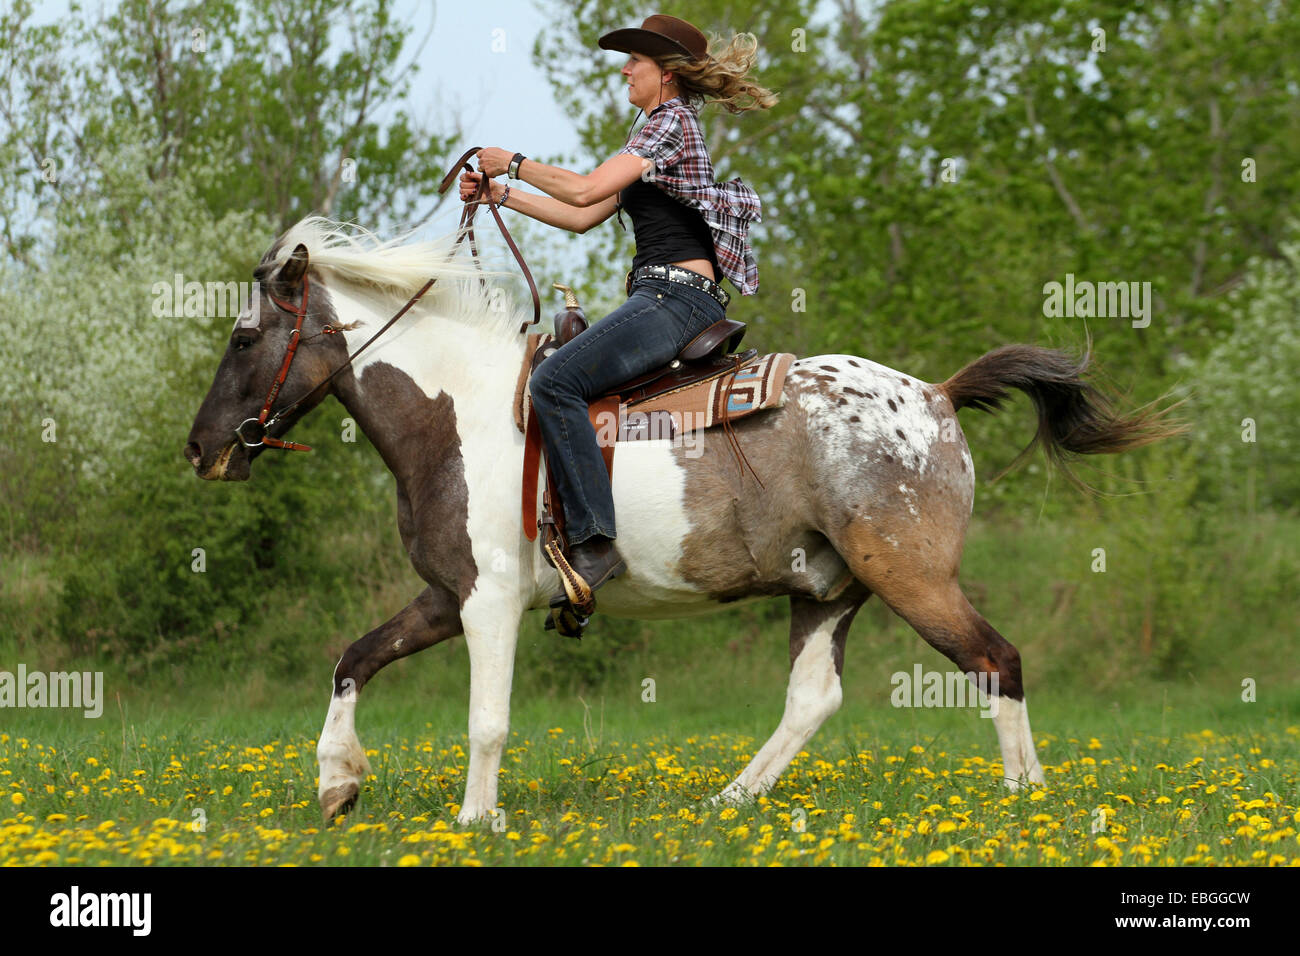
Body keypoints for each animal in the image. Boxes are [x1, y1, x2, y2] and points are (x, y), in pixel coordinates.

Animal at [188, 214, 1185, 822]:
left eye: (243, 337)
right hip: (828, 588)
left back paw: (1025, 802)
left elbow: (487, 720)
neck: (457, 413)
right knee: (814, 699)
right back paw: (729, 803)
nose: (201, 450)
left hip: (912, 577)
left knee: (995, 661)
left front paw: (476, 818)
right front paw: (336, 784)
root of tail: (935, 396)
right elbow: (352, 660)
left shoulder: (490, 601)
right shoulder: (445, 596)